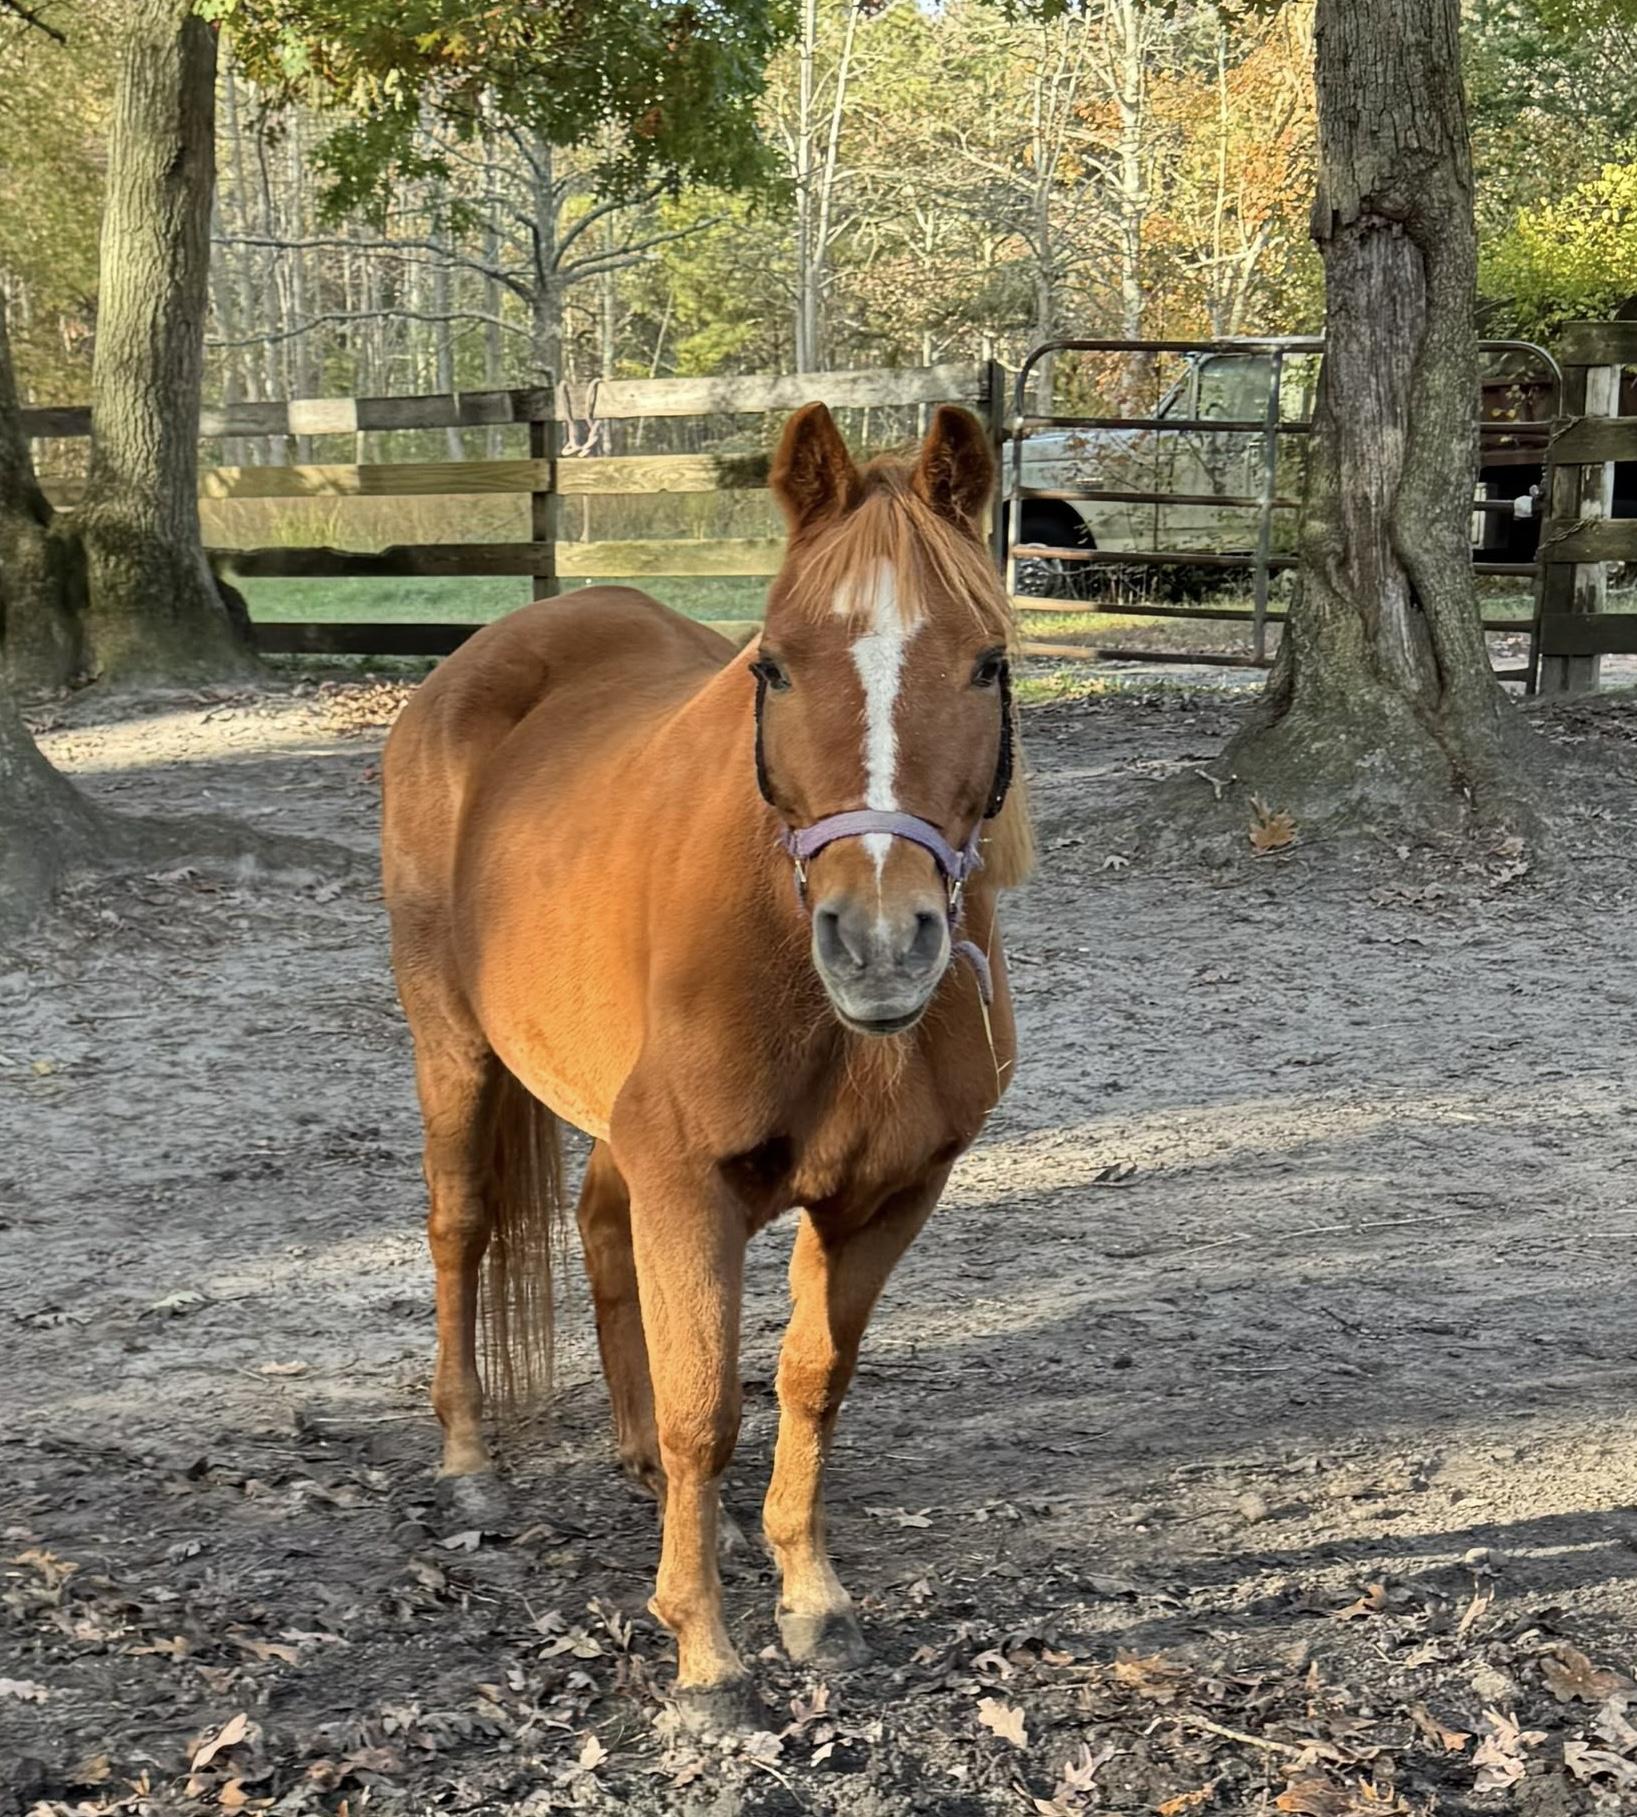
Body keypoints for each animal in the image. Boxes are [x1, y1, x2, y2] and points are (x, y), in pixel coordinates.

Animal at [381, 400, 1032, 1728]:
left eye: (987, 663)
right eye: (771, 665)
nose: (877, 941)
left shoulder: (886, 1197)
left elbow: (808, 1380)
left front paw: (809, 1595)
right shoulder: (691, 1185)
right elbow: (703, 1410)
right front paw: (703, 1652)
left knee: (593, 1226)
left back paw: (637, 1467)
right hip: (452, 1047)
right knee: (459, 1227)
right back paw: (469, 1460)